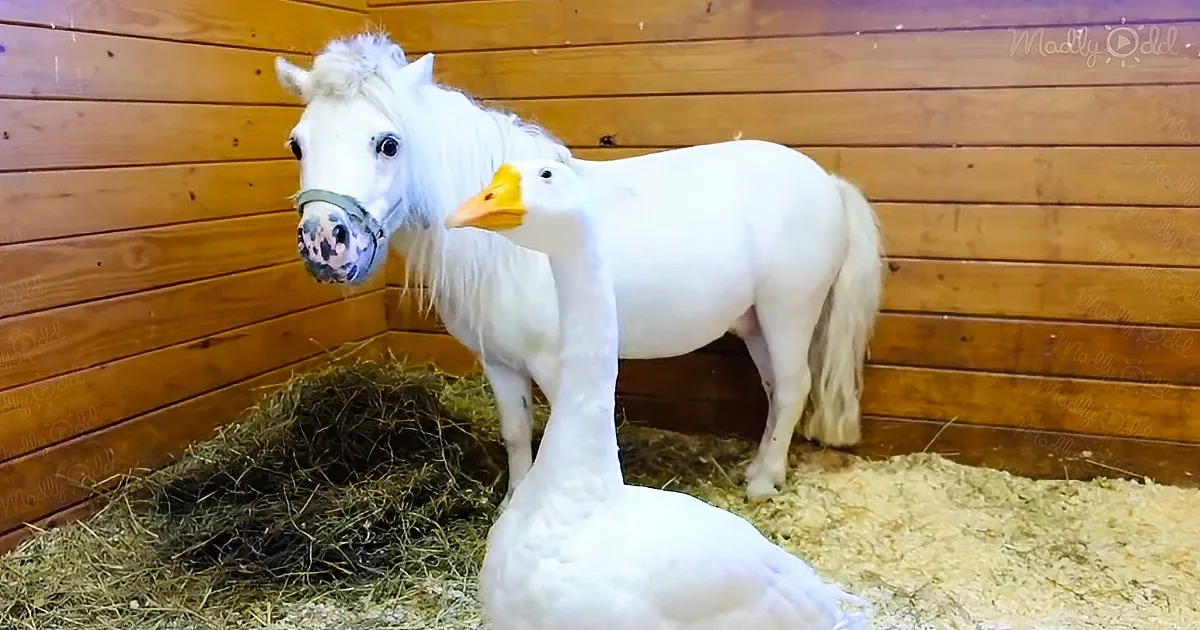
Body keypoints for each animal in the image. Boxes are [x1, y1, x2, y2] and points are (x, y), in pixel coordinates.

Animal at [274, 32, 885, 502]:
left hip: (788, 314)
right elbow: (517, 433)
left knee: (793, 386)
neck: (512, 243)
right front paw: (516, 501)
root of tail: (827, 180)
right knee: (777, 389)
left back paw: (762, 483)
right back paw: (760, 468)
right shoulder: (501, 363)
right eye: (297, 144)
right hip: (756, 322)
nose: (326, 242)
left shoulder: (555, 363)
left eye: (389, 144)